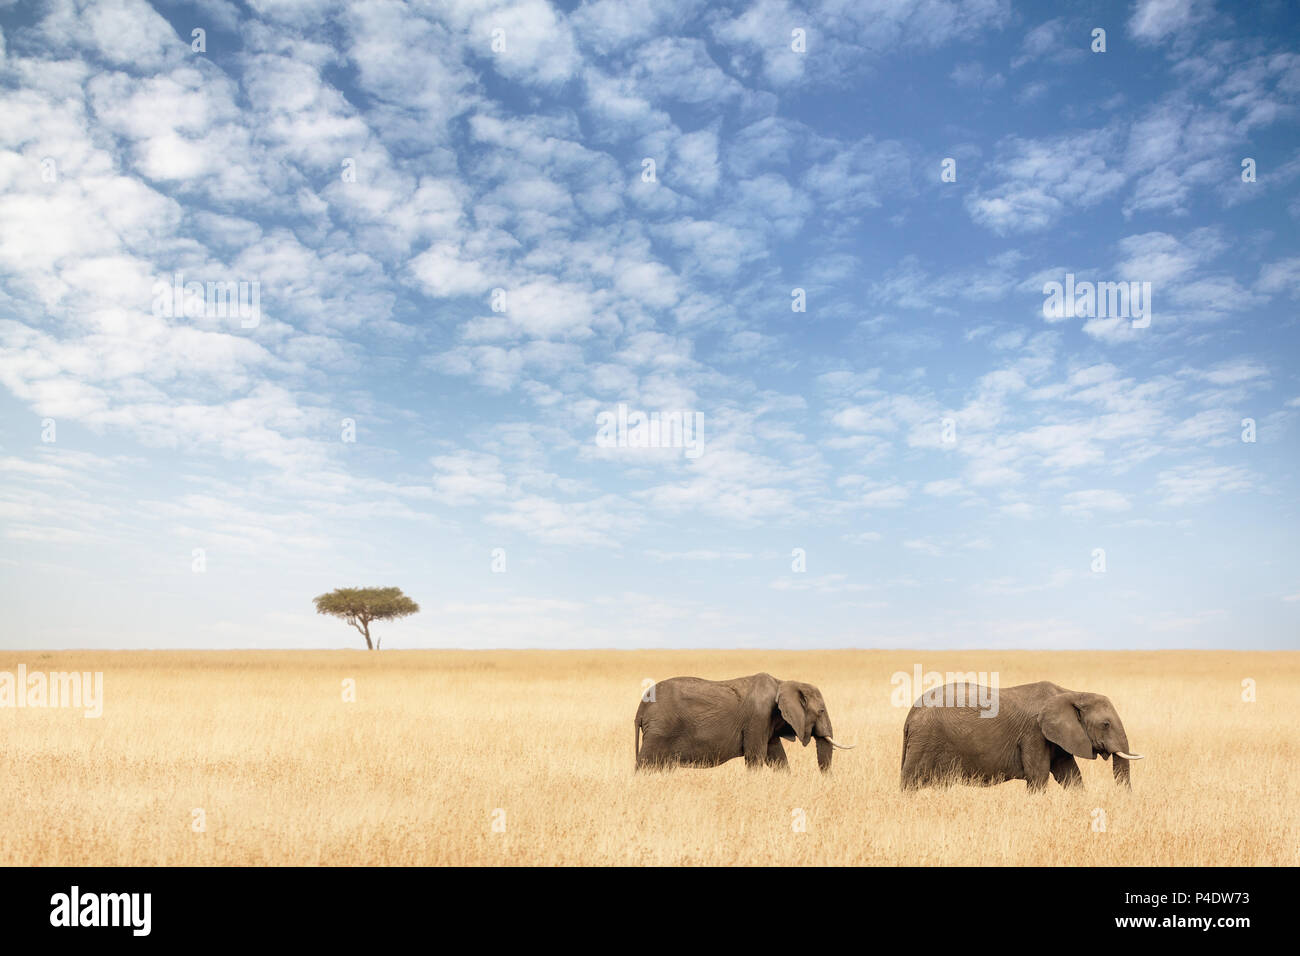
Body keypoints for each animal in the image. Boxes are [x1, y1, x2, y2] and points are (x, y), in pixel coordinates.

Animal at [631, 671, 852, 775]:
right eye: (821, 711)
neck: (783, 682)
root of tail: (640, 708)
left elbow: (777, 757)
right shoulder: (758, 718)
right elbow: (756, 757)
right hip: (660, 730)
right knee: (645, 763)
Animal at [899, 681, 1144, 790]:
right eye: (1106, 724)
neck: (1072, 693)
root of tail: (911, 713)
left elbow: (1071, 776)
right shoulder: (1034, 734)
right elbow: (1038, 777)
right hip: (925, 741)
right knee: (910, 781)